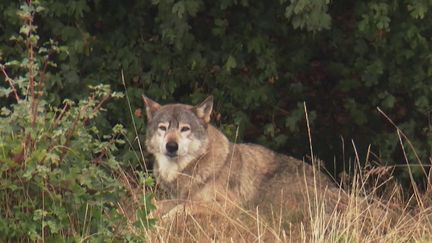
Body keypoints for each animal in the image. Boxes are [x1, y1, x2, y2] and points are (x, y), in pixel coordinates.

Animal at [143, 95, 346, 218]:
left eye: (185, 129)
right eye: (163, 128)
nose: (171, 146)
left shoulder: (231, 205)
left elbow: (180, 209)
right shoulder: (179, 197)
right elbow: (157, 206)